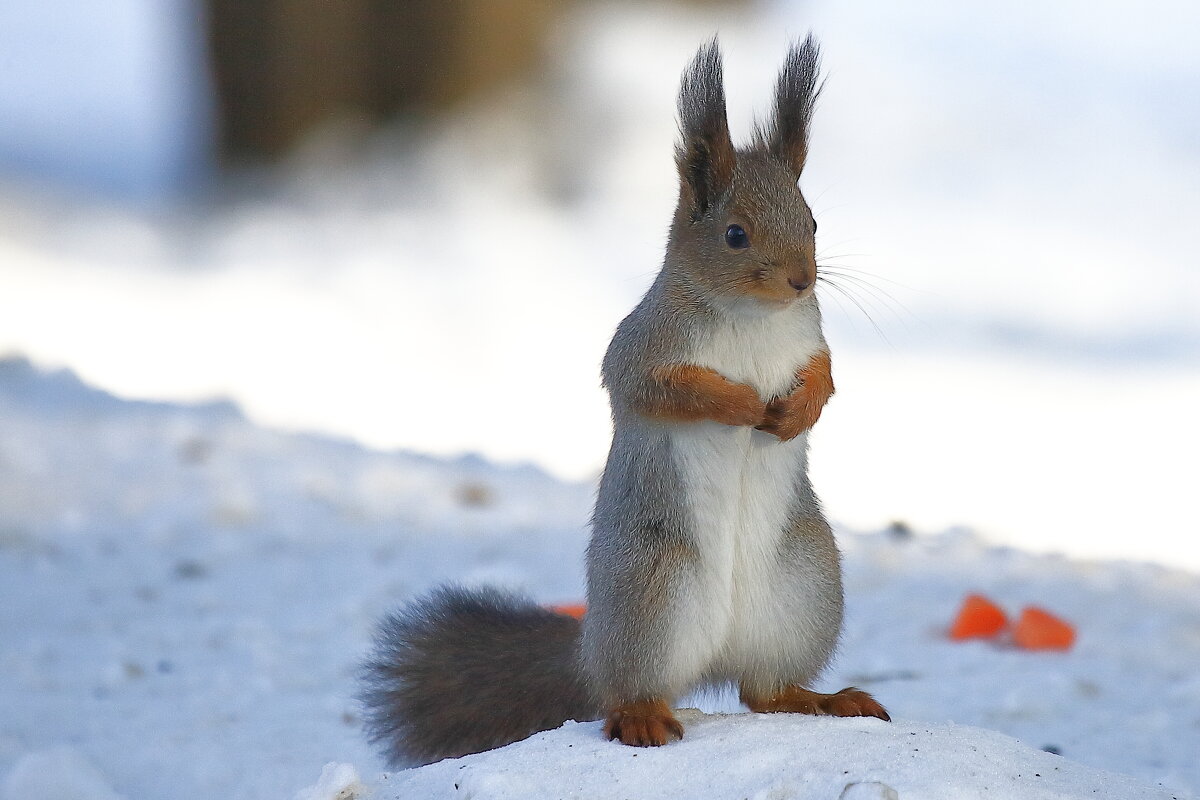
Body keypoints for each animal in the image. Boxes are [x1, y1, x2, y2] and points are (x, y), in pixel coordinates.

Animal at [360, 38, 888, 767]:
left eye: (811, 220)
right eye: (734, 234)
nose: (801, 279)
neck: (753, 315)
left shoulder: (812, 339)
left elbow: (826, 379)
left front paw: (794, 410)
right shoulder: (642, 348)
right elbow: (662, 388)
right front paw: (741, 403)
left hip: (802, 595)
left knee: (764, 691)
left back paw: (824, 699)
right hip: (651, 594)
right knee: (634, 689)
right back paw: (640, 718)